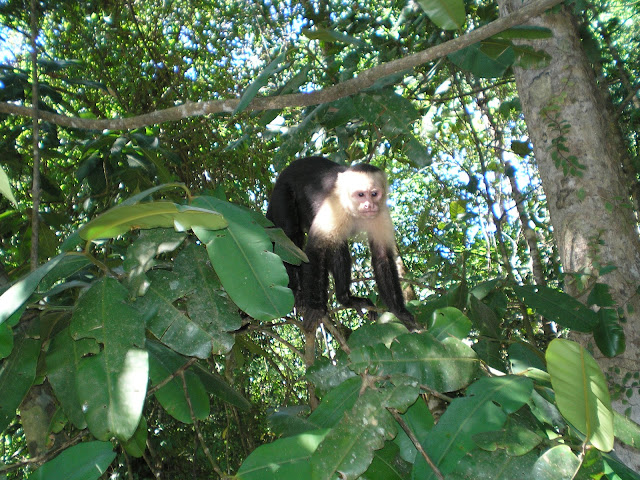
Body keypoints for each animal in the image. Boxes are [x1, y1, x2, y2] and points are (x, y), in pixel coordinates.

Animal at [264, 156, 416, 332]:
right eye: (360, 194)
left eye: (374, 194)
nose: (369, 205)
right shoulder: (334, 206)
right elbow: (315, 249)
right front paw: (316, 308)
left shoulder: (381, 213)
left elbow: (382, 255)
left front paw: (399, 311)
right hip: (283, 194)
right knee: (291, 236)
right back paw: (297, 293)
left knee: (337, 246)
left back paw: (346, 299)